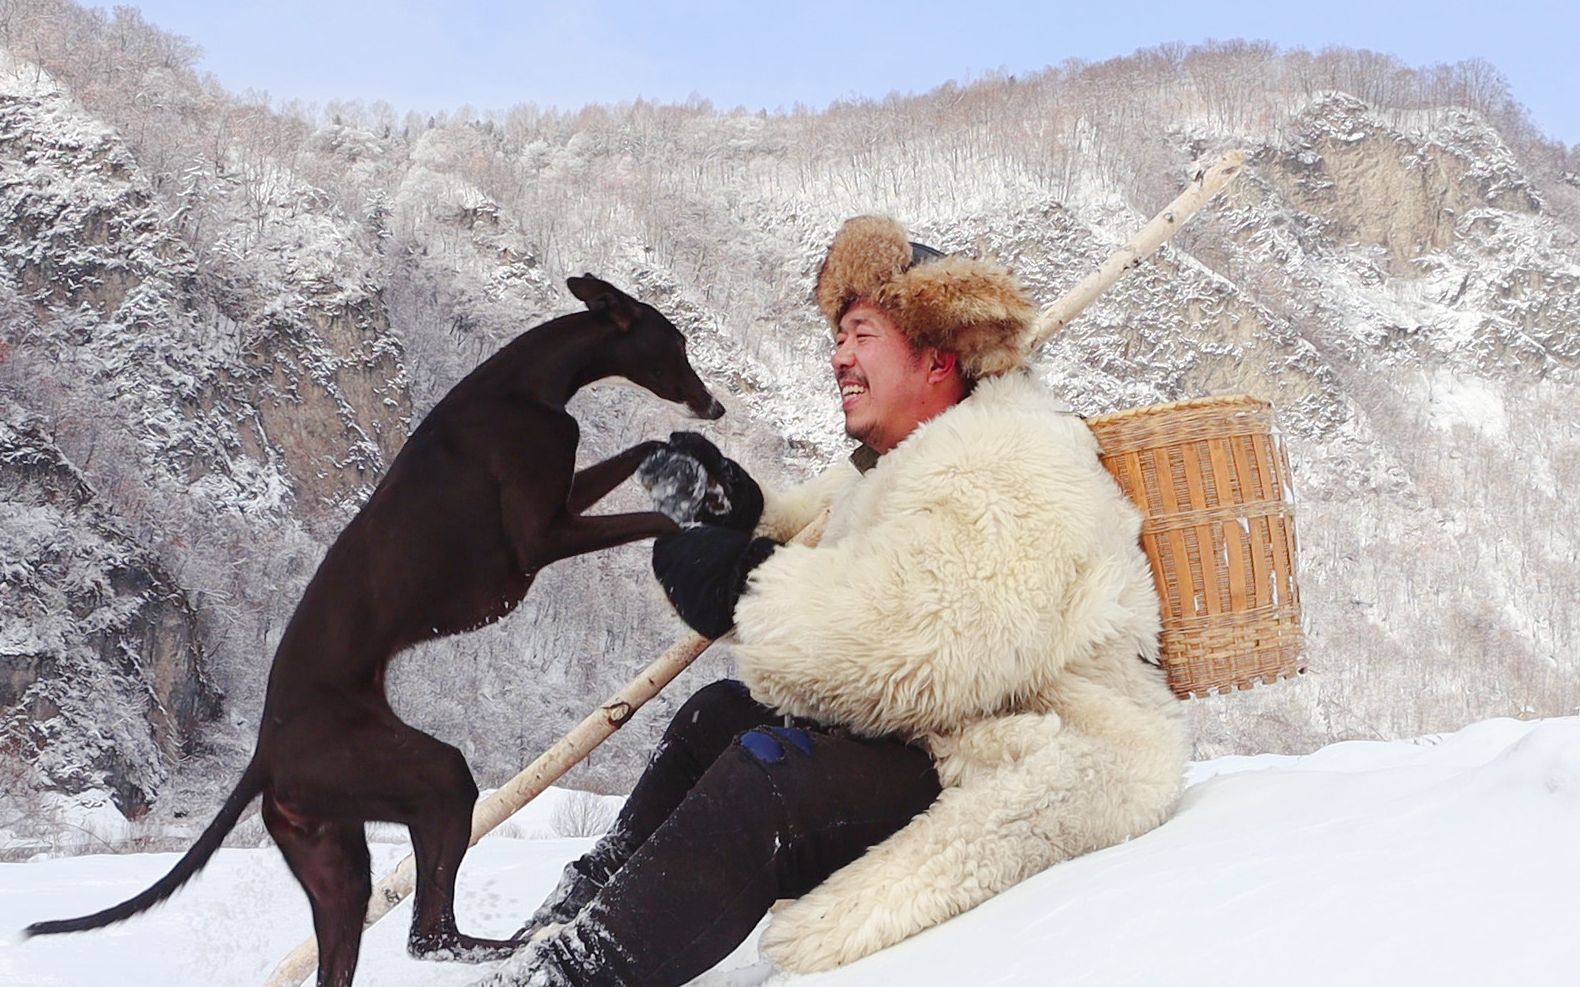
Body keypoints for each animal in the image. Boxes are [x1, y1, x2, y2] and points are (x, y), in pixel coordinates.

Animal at [27, 274, 720, 985]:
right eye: (677, 343)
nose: (715, 406)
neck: (524, 385)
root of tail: (264, 755)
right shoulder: (540, 537)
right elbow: (663, 521)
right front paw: (722, 515)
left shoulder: (563, 500)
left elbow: (642, 451)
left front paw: (695, 465)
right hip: (431, 778)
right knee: (430, 933)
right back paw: (516, 944)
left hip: (336, 865)